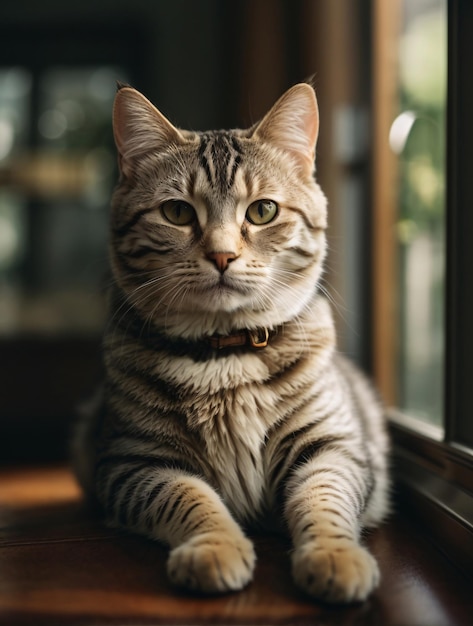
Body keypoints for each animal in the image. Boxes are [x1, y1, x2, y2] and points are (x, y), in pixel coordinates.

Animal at [72, 83, 390, 600]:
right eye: (177, 211)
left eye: (263, 211)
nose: (222, 256)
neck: (228, 354)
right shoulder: (134, 461)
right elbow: (190, 498)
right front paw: (216, 547)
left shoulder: (333, 447)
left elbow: (324, 497)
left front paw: (334, 554)